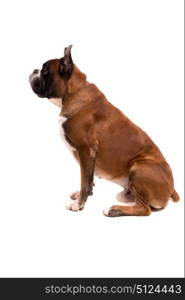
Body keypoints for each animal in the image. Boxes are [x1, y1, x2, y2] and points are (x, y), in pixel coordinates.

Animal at [28, 44, 179, 217]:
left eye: (45, 71)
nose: (34, 70)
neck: (74, 93)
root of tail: (172, 189)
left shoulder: (86, 151)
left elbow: (84, 180)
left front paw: (79, 204)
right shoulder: (89, 157)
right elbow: (88, 179)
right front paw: (82, 195)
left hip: (139, 167)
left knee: (145, 209)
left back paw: (114, 210)